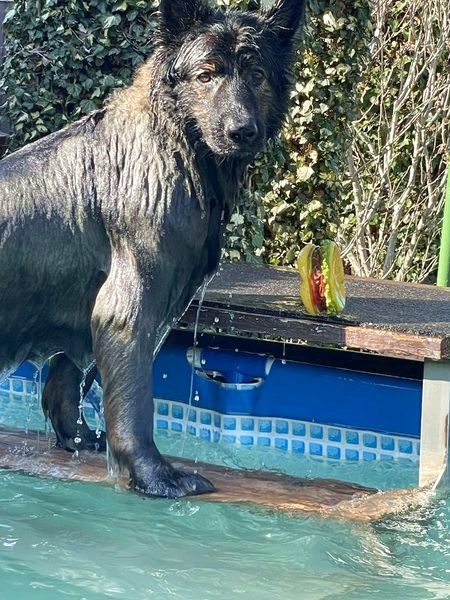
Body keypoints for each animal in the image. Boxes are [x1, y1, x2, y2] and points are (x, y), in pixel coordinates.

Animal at [0, 0, 304, 498]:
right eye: (206, 74)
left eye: (256, 73)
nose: (242, 130)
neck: (176, 148)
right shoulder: (130, 305)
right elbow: (133, 405)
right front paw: (155, 476)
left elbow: (65, 383)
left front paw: (78, 440)